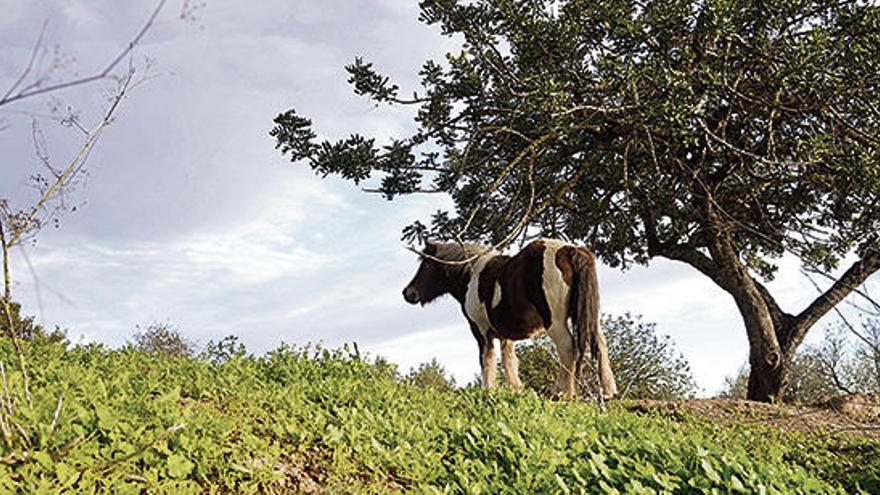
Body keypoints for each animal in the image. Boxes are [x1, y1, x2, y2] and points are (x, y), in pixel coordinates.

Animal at [402, 237, 616, 400]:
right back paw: (608, 392)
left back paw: (562, 393)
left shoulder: (481, 332)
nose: (408, 293)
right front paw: (515, 392)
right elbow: (510, 362)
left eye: (428, 264)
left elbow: (487, 361)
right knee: (600, 344)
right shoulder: (506, 336)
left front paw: (488, 392)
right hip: (590, 315)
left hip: (555, 322)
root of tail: (570, 250)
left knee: (567, 348)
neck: (472, 275)